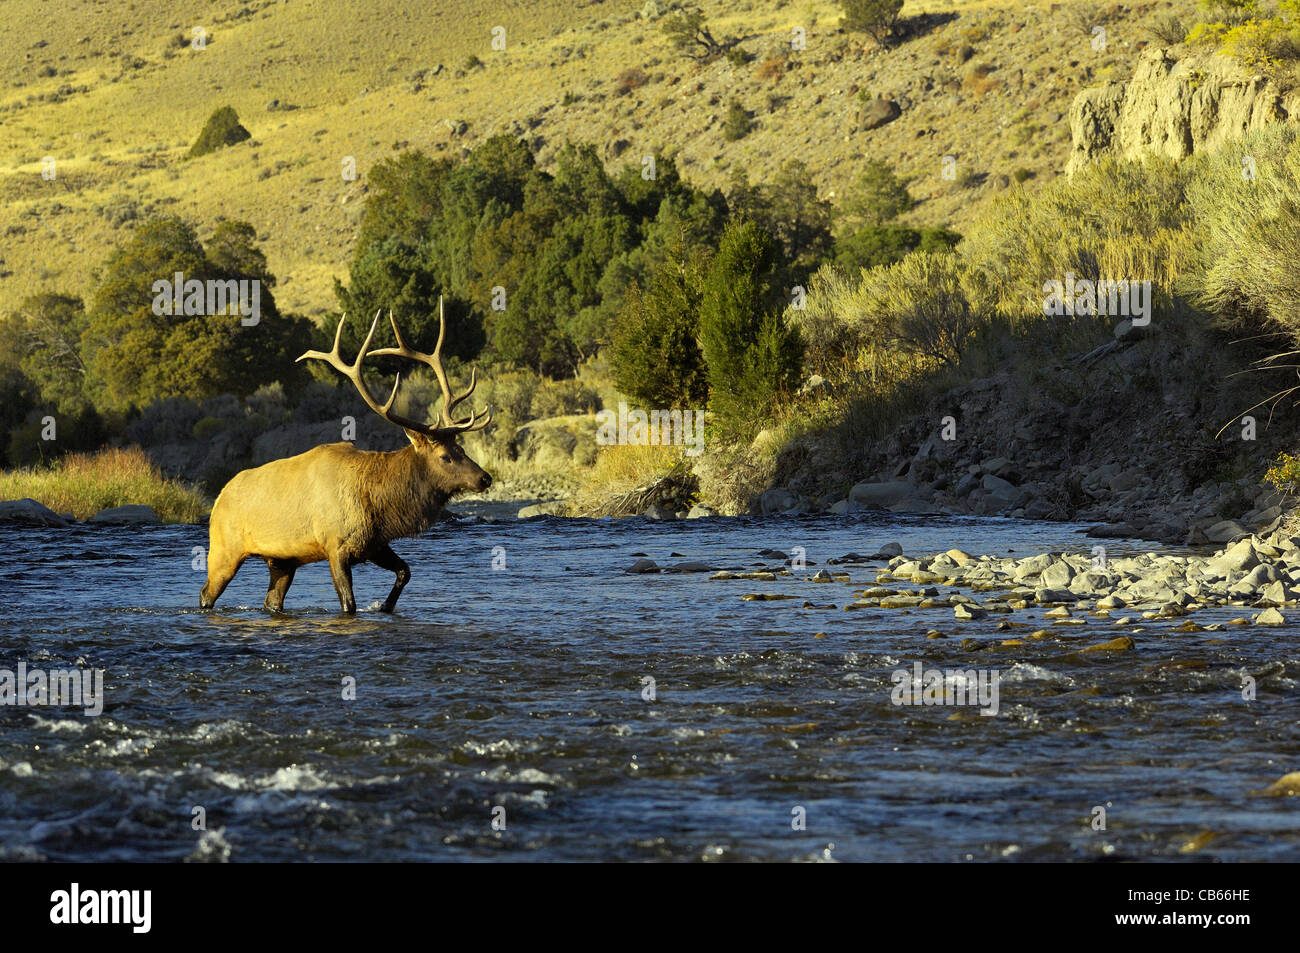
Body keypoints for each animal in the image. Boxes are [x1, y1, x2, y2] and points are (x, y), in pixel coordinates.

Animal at [197, 301, 491, 613]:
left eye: (462, 449)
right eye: (446, 456)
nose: (485, 478)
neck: (379, 500)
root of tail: (219, 497)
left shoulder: (374, 543)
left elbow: (405, 571)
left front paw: (385, 607)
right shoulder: (335, 545)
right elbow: (348, 602)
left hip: (282, 560)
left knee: (272, 601)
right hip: (224, 548)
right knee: (206, 593)